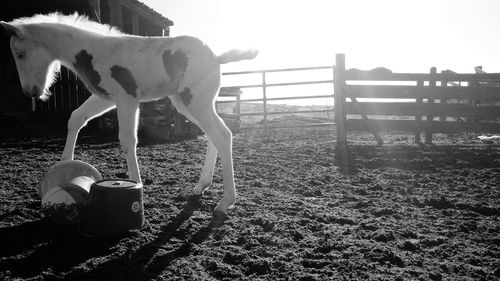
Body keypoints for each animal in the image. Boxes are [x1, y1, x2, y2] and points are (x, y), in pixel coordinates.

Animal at [0, 13, 258, 214]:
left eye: (20, 54)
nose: (30, 92)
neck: (95, 53)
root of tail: (216, 57)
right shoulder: (105, 98)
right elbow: (76, 118)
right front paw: (63, 165)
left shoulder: (127, 99)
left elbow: (127, 139)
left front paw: (136, 184)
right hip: (187, 104)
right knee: (214, 135)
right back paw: (201, 186)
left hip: (196, 101)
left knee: (222, 135)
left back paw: (225, 202)